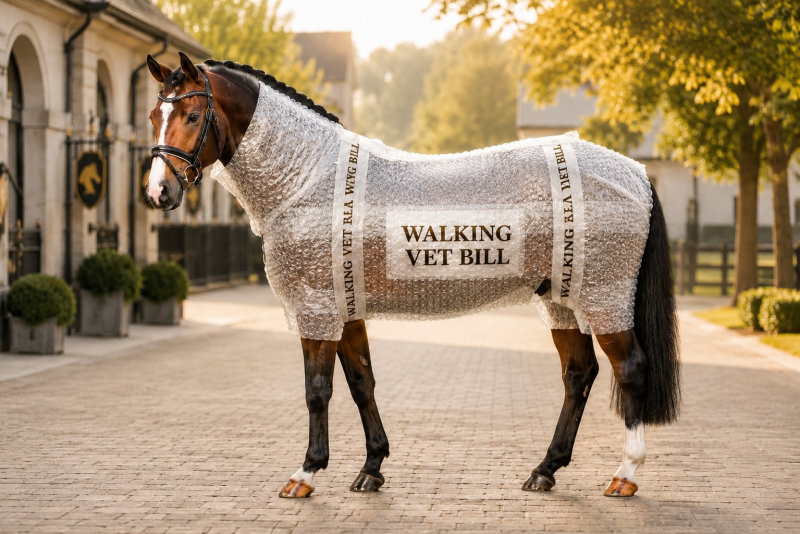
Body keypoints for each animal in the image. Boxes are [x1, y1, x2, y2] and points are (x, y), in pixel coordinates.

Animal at [144, 52, 680, 499]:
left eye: (192, 116)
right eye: (154, 115)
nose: (158, 192)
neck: (310, 179)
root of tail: (637, 173)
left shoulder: (316, 310)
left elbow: (317, 391)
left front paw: (307, 472)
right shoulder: (346, 311)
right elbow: (362, 382)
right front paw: (371, 468)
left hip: (605, 295)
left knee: (630, 369)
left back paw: (624, 475)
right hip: (559, 299)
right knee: (578, 374)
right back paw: (544, 470)